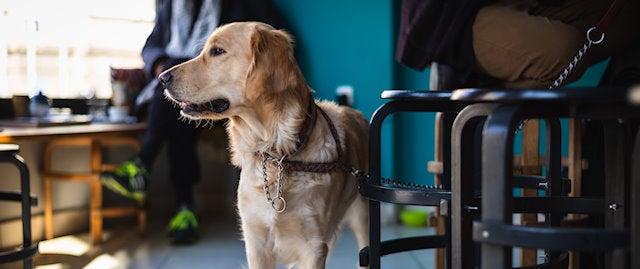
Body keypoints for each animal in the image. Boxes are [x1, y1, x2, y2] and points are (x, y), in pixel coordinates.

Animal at [161, 22, 370, 266]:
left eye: (217, 51)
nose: (162, 77)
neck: (277, 153)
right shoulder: (256, 242)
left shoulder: (313, 247)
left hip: (363, 217)